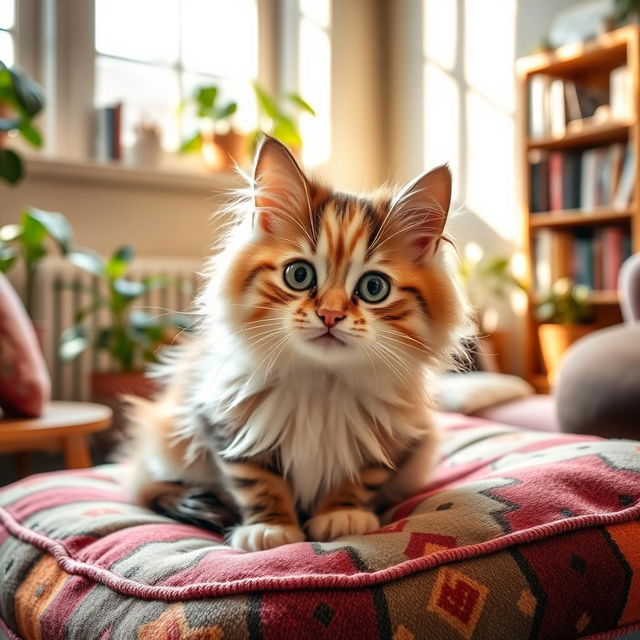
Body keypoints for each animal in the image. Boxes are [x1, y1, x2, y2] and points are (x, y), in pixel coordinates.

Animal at [122, 134, 470, 552]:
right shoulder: (223, 420)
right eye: (299, 275)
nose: (331, 315)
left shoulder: (389, 437)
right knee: (141, 485)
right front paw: (271, 528)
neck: (321, 380)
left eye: (374, 287)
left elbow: (359, 477)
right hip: (165, 437)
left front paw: (341, 514)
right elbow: (256, 479)